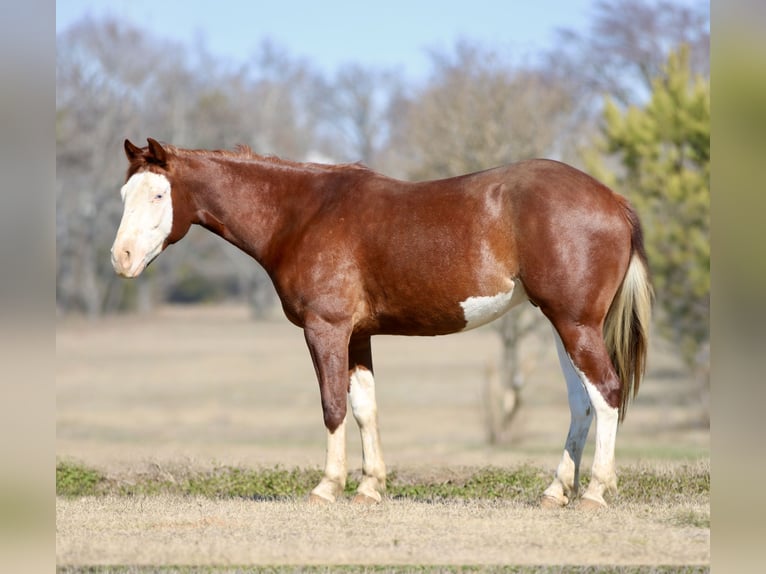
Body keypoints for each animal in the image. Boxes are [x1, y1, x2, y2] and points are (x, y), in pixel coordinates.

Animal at [111, 138, 652, 509]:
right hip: (566, 326)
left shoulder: (326, 329)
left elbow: (333, 407)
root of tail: (614, 201)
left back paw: (595, 492)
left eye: (158, 195)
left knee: (606, 392)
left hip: (576, 325)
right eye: (124, 193)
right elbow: (364, 408)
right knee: (583, 403)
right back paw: (557, 490)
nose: (121, 258)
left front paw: (328, 486)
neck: (303, 214)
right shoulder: (358, 337)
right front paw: (370, 487)